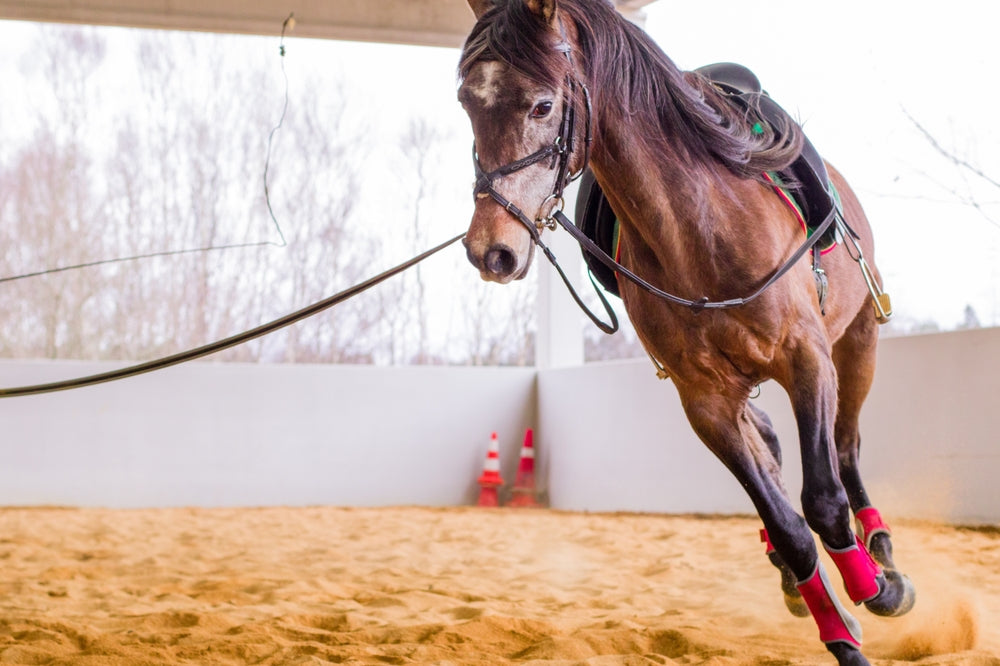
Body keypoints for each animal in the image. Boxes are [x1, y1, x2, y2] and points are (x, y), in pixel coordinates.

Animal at [456, 1, 914, 664]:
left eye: (542, 105)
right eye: (467, 102)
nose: (491, 250)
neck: (699, 227)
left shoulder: (807, 358)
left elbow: (824, 500)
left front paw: (877, 590)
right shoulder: (705, 400)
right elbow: (789, 526)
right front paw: (840, 634)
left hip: (857, 343)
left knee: (846, 447)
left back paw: (881, 557)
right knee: (772, 449)